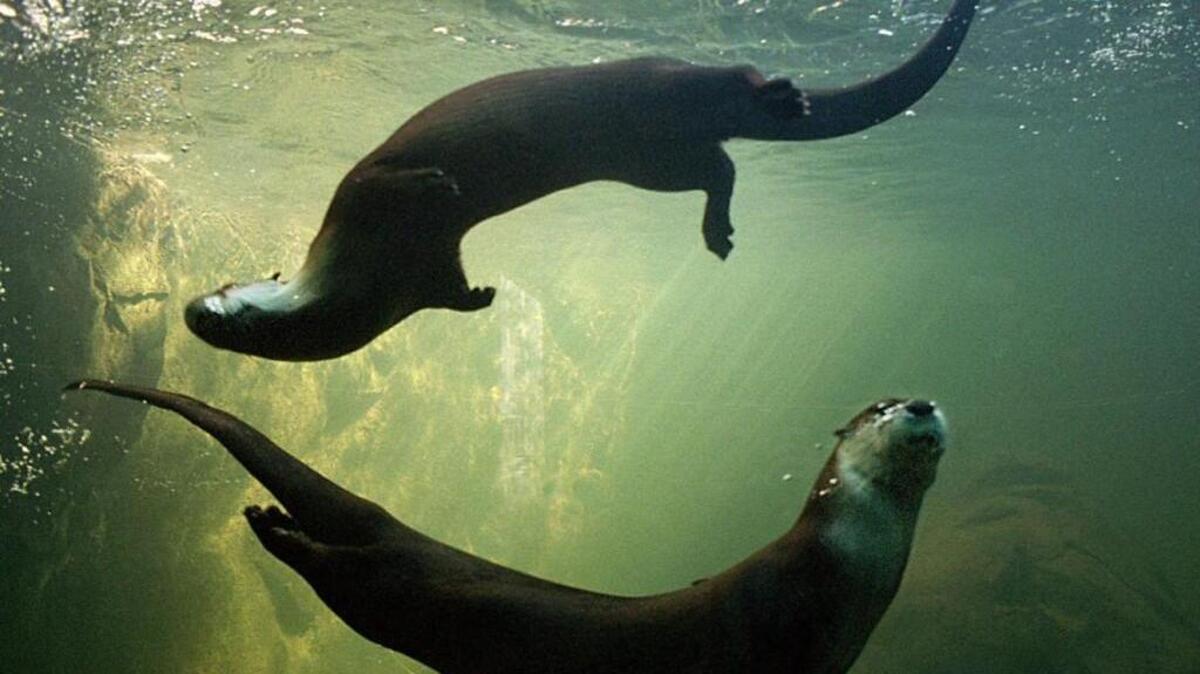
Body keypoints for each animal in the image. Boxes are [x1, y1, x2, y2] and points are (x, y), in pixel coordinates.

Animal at [66, 380, 947, 673]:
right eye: (878, 409)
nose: (921, 403)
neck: (850, 568)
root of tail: (398, 528)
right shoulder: (778, 614)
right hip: (389, 589)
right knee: (337, 573)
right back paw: (267, 524)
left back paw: (270, 517)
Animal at [184, 0, 978, 361]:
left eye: (223, 294)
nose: (195, 311)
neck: (362, 272)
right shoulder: (423, 272)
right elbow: (451, 288)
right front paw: (483, 296)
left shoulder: (359, 193)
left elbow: (395, 183)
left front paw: (440, 186)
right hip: (654, 161)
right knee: (719, 165)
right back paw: (718, 230)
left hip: (657, 83)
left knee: (734, 77)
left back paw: (783, 98)